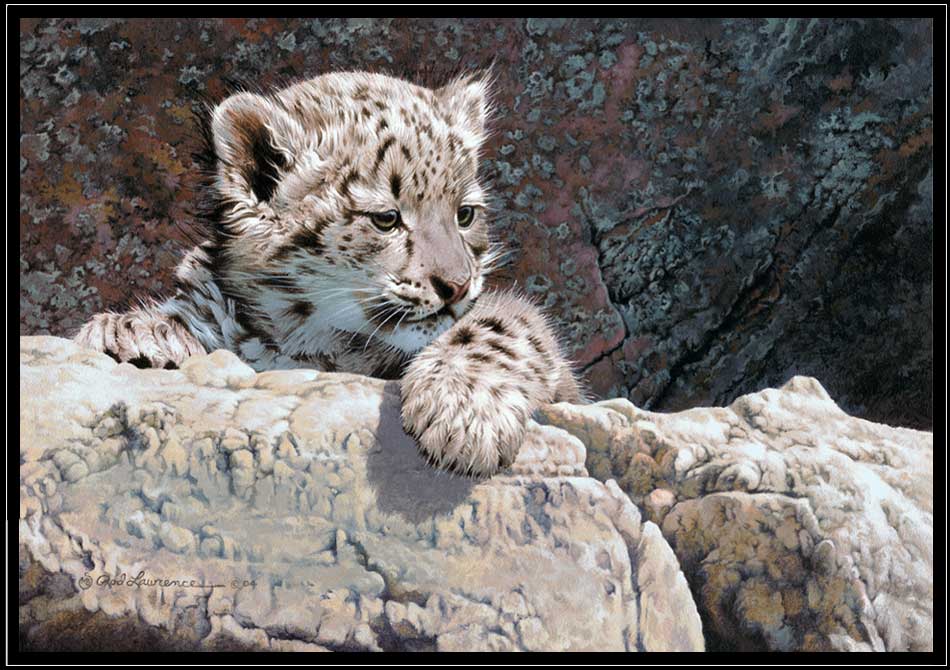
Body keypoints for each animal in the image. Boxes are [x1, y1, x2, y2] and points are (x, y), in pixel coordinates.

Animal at [74, 70, 583, 477]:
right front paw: (133, 333)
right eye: (386, 218)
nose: (457, 286)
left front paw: (465, 414)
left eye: (465, 214)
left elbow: (503, 324)